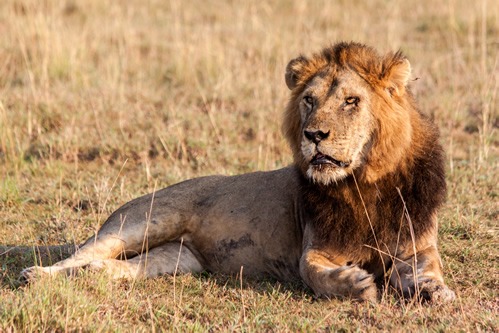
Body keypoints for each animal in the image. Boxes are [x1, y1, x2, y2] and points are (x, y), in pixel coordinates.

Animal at [20, 42, 458, 302]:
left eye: (351, 101)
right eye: (309, 101)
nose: (314, 134)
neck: (364, 184)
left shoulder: (417, 246)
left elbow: (426, 270)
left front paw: (435, 291)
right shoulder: (313, 250)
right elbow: (317, 274)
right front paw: (355, 284)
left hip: (175, 259)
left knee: (106, 267)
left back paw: (88, 276)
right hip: (143, 221)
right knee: (79, 255)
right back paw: (35, 276)